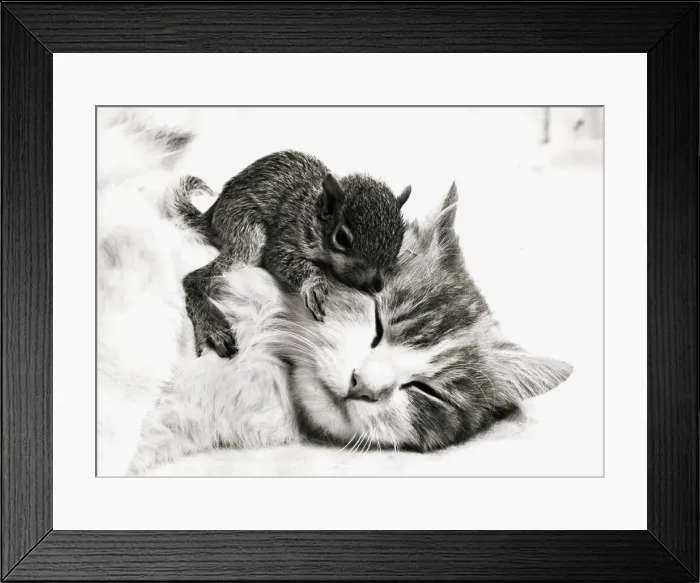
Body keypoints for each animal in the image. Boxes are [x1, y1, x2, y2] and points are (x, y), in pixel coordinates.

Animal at [177, 150, 412, 358]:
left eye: (400, 238)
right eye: (342, 238)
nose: (375, 285)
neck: (313, 213)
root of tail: (211, 216)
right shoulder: (288, 233)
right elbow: (283, 259)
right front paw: (314, 285)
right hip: (246, 232)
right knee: (194, 278)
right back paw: (211, 328)